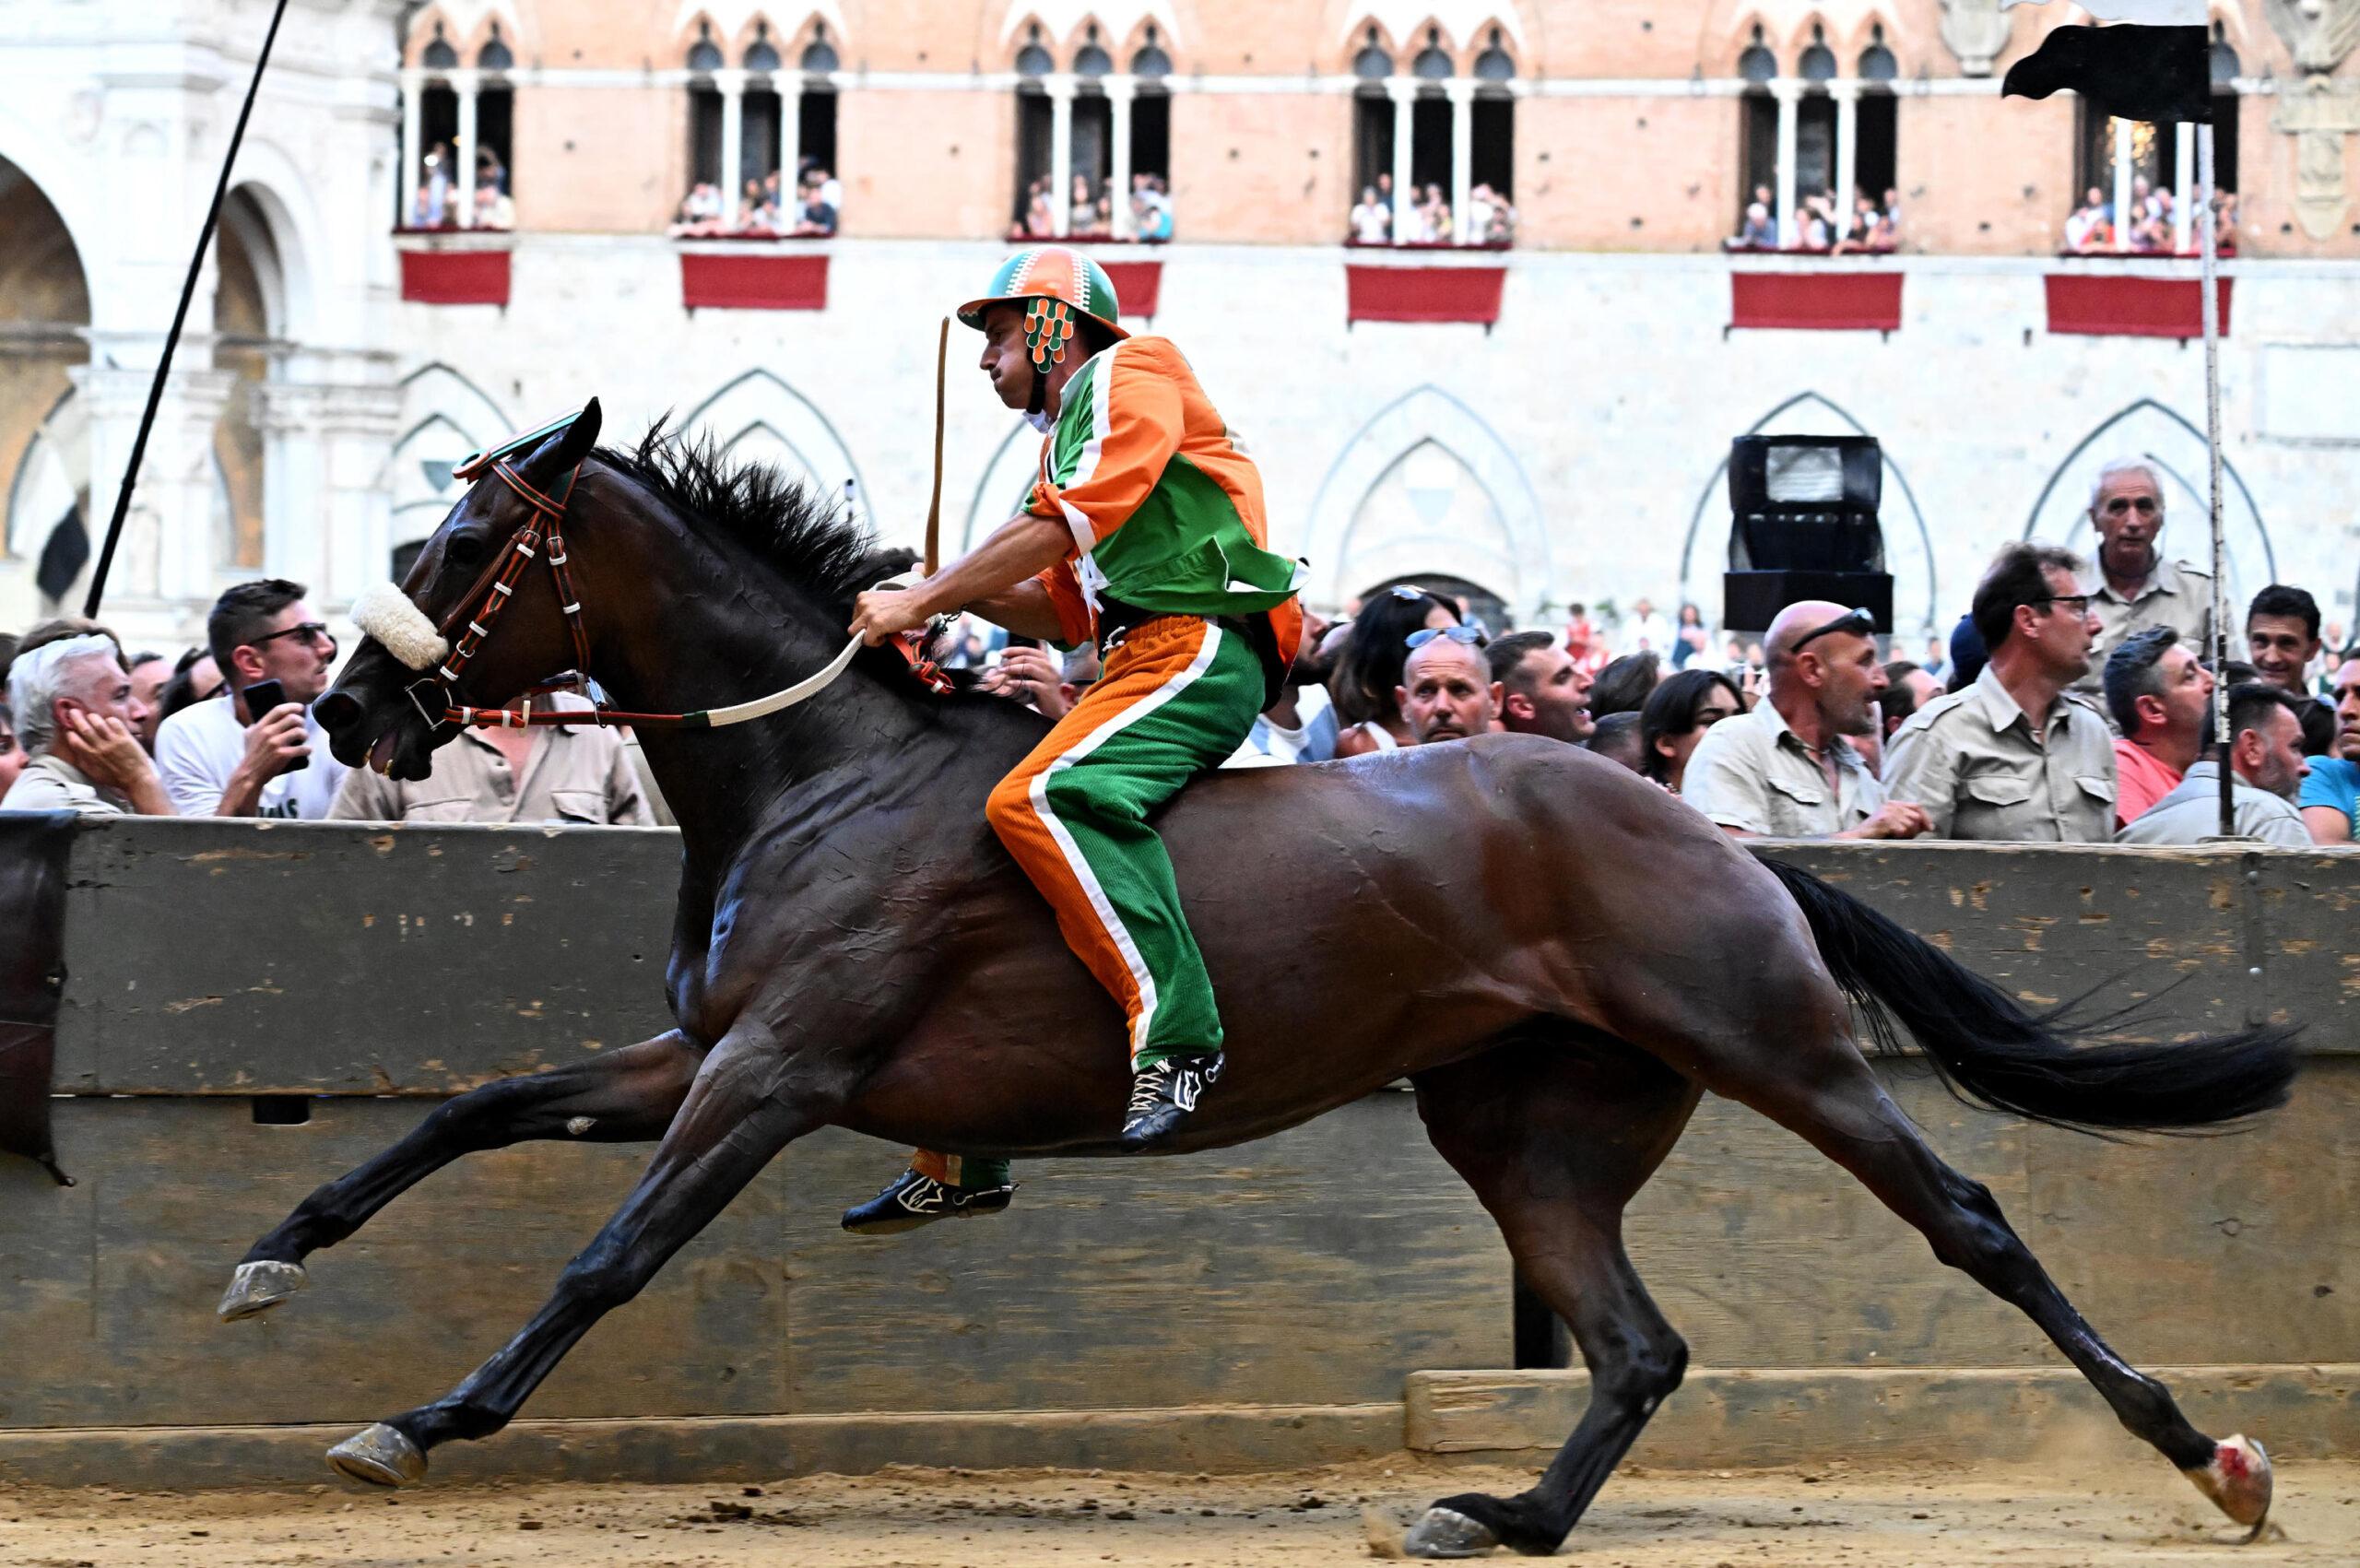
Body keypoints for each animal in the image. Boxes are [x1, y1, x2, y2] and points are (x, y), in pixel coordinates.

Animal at [230, 404, 2294, 1558]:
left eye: (469, 538)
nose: (348, 710)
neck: (819, 776)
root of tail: (1697, 826)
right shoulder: (702, 1050)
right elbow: (474, 1106)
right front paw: (276, 1250)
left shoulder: (777, 1072)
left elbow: (606, 1255)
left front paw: (422, 1419)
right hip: (1522, 1124)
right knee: (1636, 1345)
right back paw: (1499, 1515)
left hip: (1772, 1047)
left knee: (1968, 1221)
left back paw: (2205, 1453)